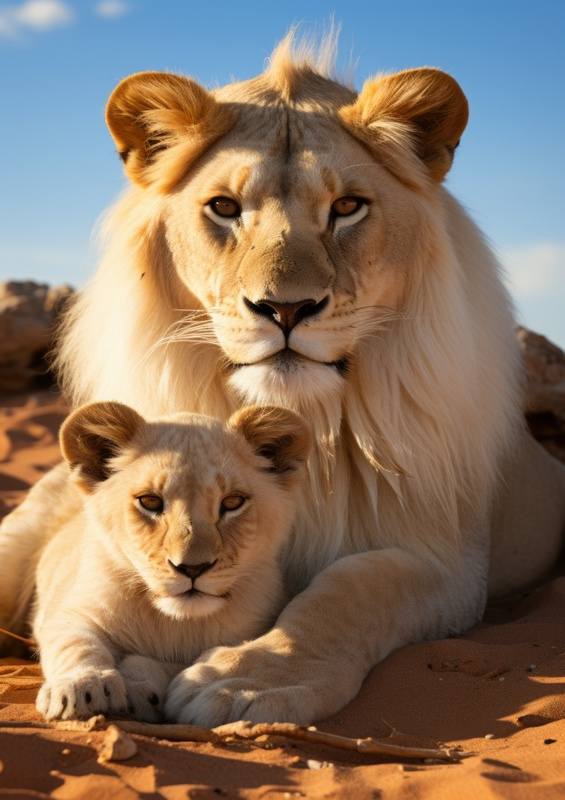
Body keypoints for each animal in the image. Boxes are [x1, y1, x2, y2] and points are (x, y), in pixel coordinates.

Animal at [34, 400, 309, 721]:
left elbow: (175, 666)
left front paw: (138, 684)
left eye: (232, 502)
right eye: (150, 502)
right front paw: (83, 685)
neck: (174, 622)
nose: (192, 568)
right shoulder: (70, 611)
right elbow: (74, 641)